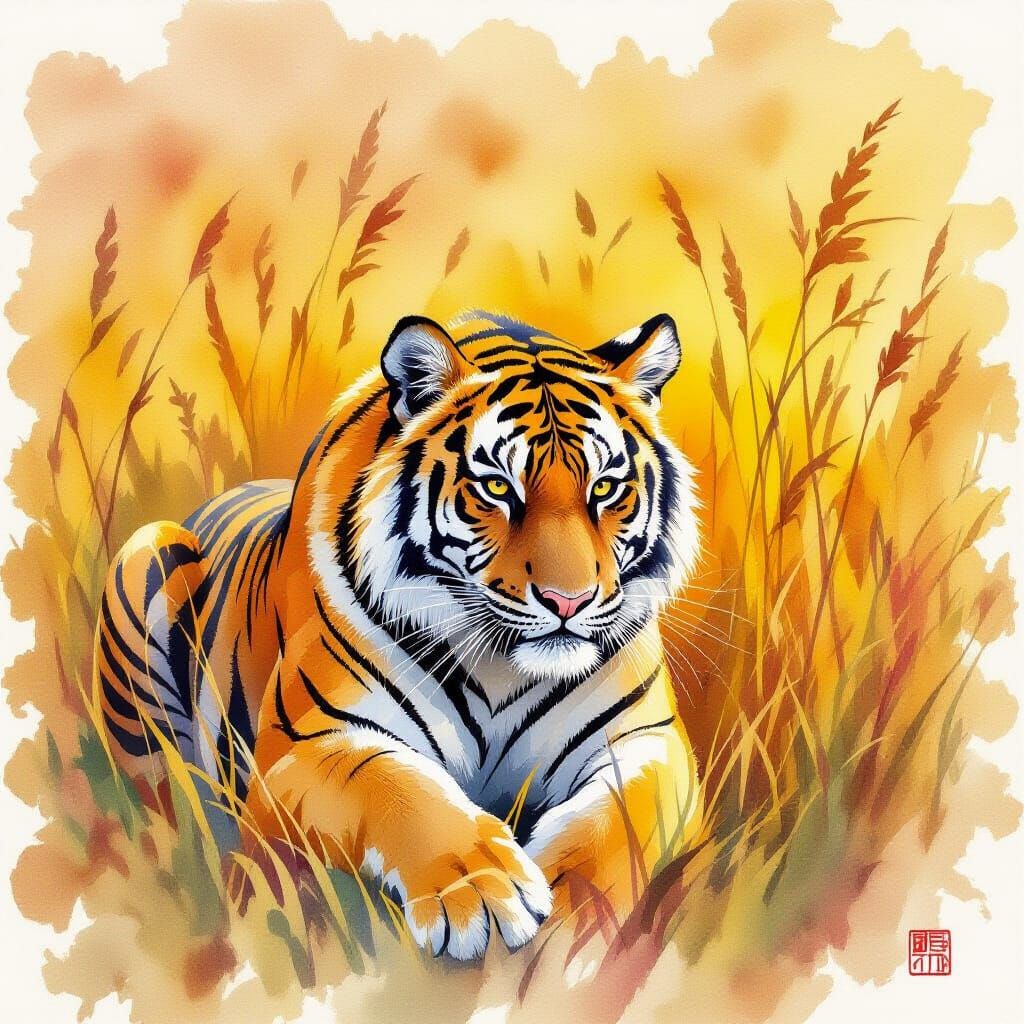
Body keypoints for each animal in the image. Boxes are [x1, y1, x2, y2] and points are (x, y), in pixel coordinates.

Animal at [94, 309, 703, 959]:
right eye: (497, 488)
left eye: (605, 488)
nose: (570, 600)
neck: (502, 669)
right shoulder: (309, 743)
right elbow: (399, 788)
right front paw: (479, 891)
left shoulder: (646, 743)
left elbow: (618, 826)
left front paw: (574, 913)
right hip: (145, 554)